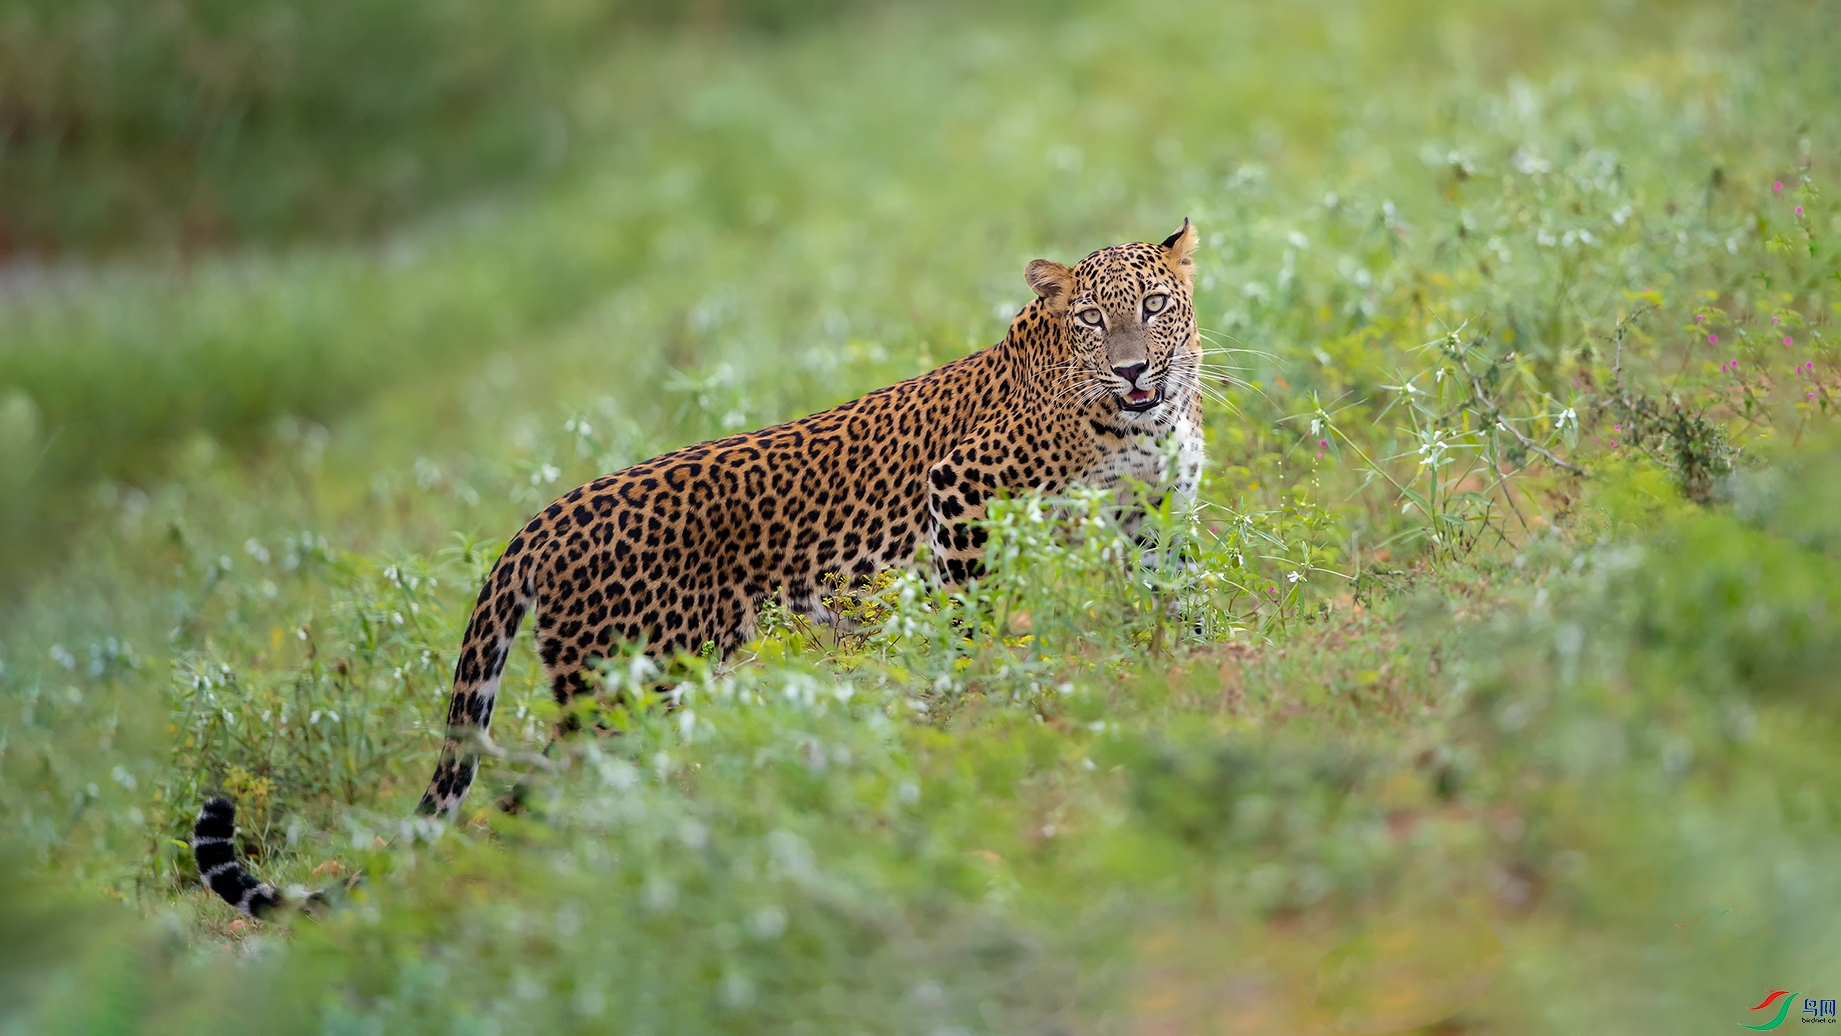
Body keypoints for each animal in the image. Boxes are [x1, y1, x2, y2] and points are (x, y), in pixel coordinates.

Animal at [197, 218, 1207, 916]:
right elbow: (970, 622)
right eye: (1093, 319)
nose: (1131, 370)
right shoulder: (960, 489)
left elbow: (1183, 597)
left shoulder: (1153, 516)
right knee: (541, 794)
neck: (1135, 420)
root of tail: (542, 521)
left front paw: (1191, 666)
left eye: (1154, 308)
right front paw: (977, 698)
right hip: (635, 682)